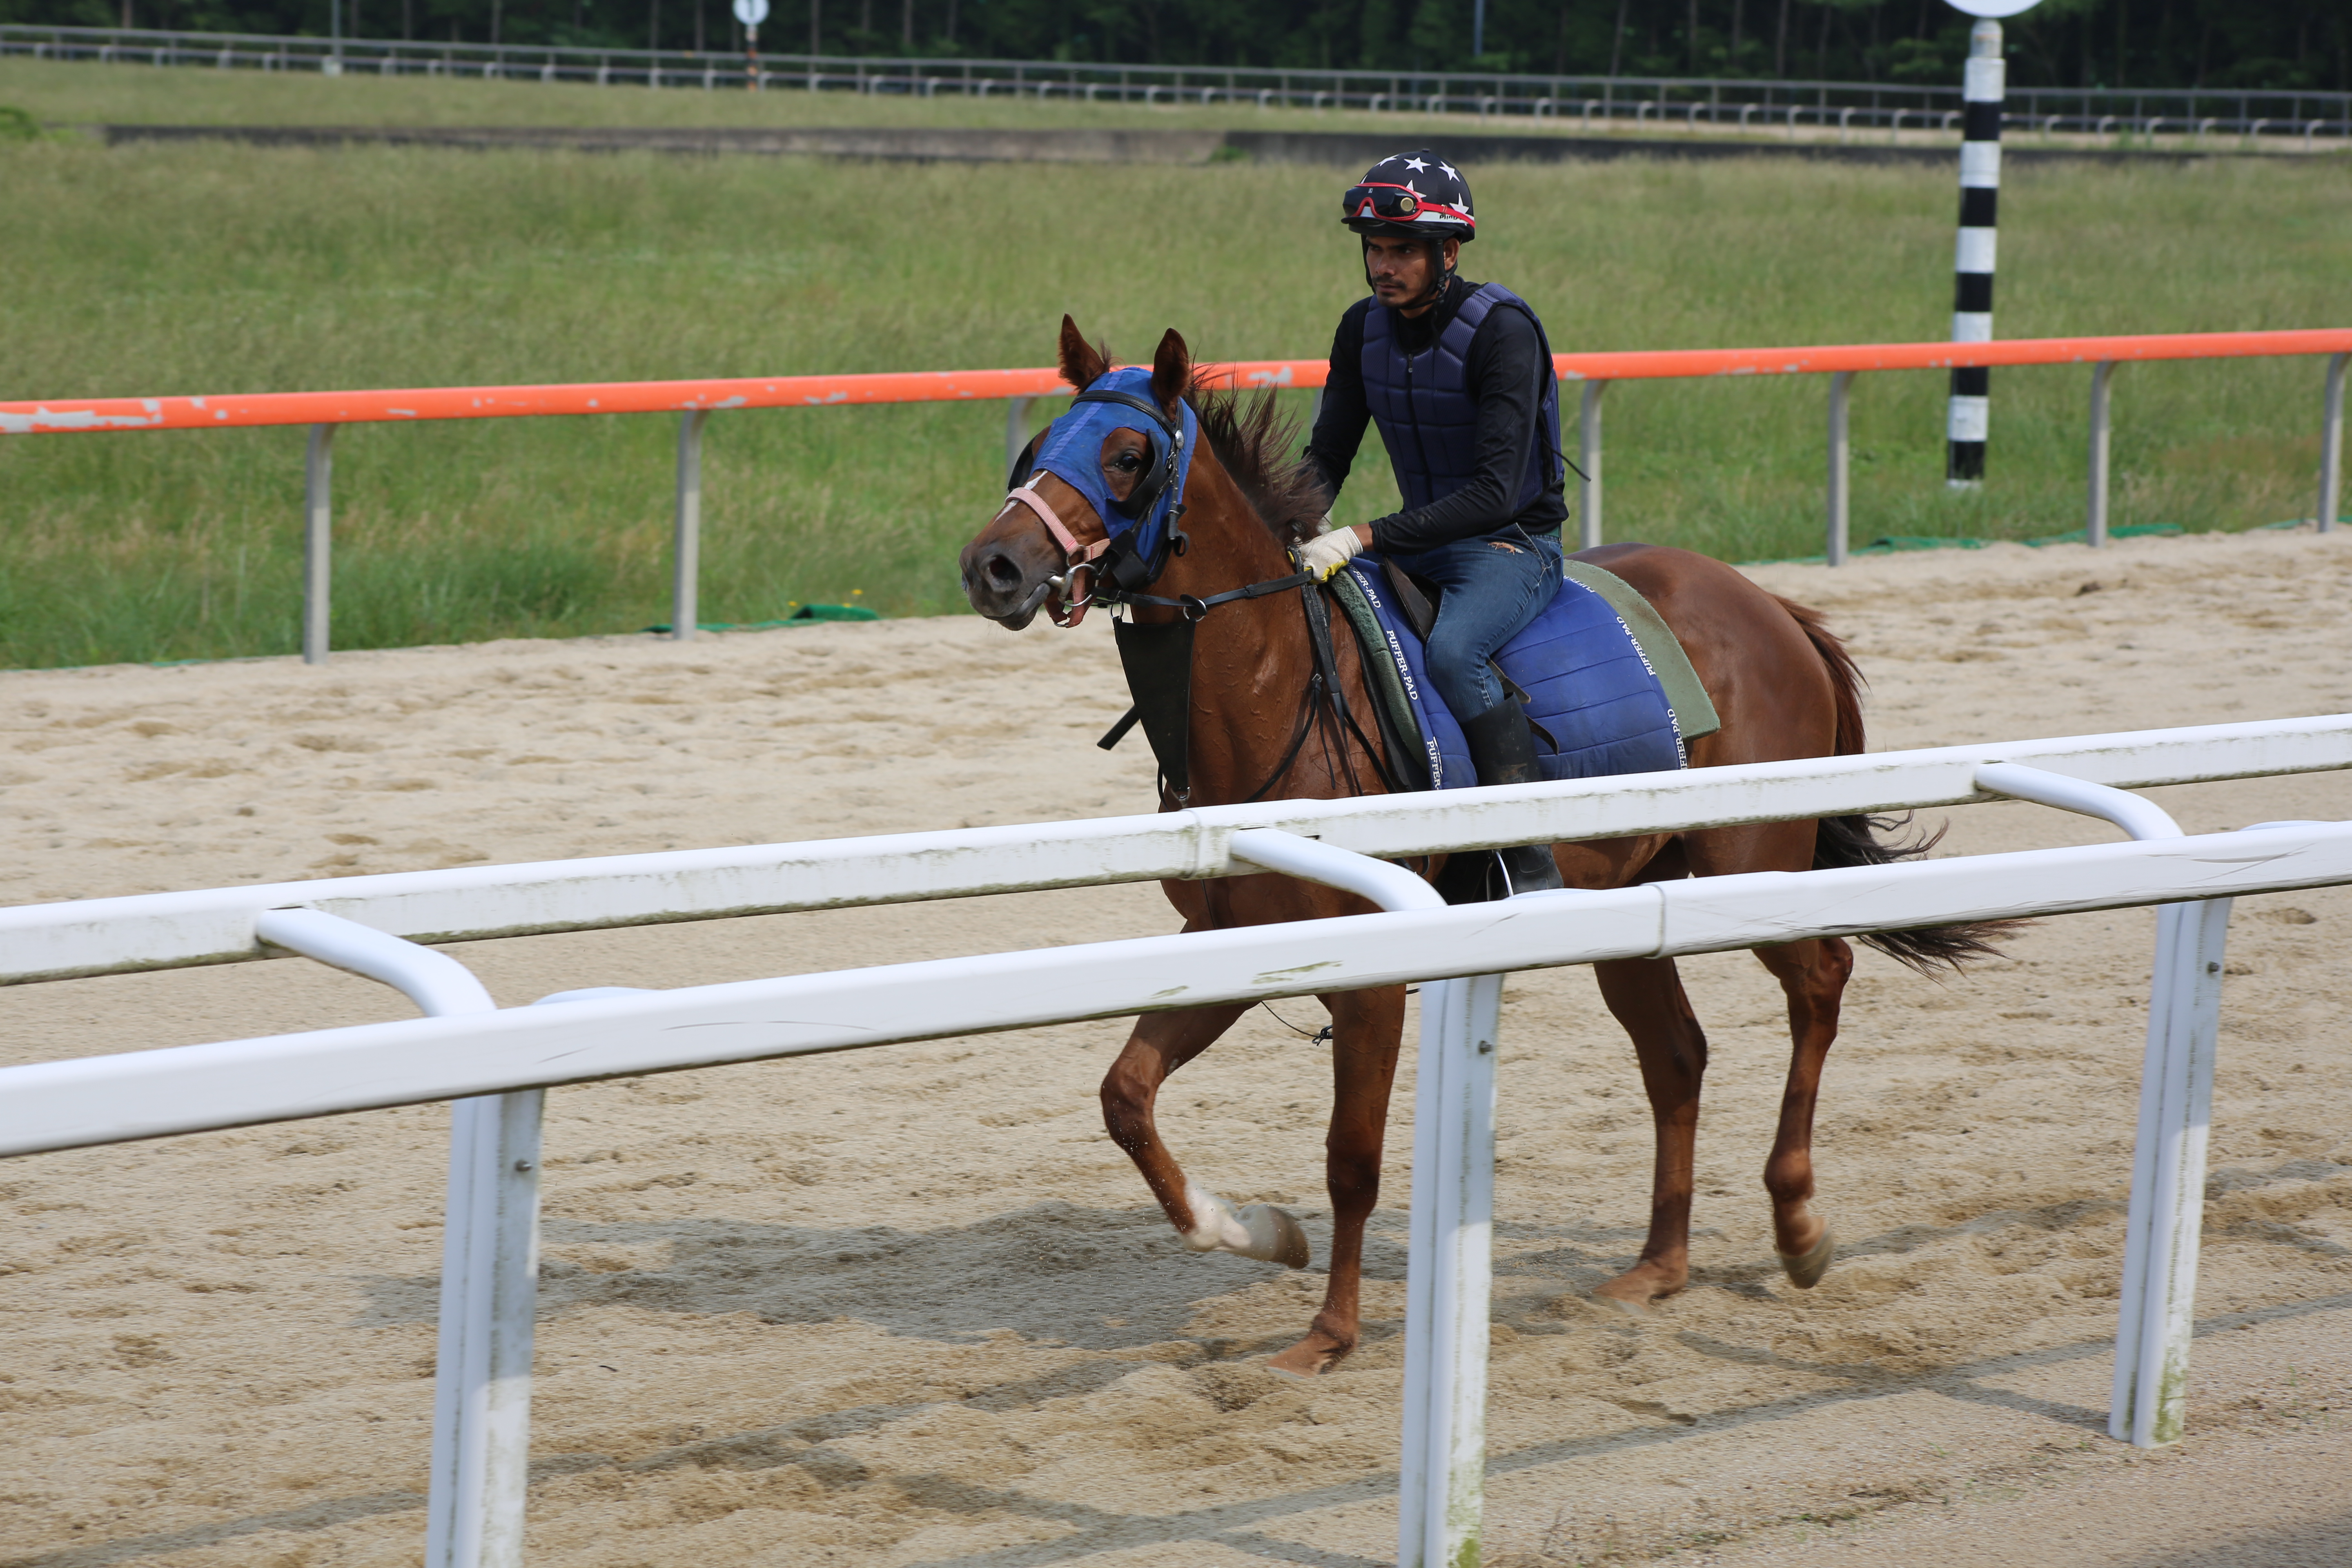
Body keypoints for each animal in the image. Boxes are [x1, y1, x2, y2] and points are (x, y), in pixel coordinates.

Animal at [955, 315, 2004, 1373]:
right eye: (1036, 448)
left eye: (1128, 457)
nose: (992, 566)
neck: (1280, 686)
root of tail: (1774, 610)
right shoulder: (1233, 940)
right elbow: (1125, 1094)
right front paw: (1256, 1230)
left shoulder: (1371, 977)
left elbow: (1352, 1158)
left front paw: (1328, 1334)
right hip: (1626, 900)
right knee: (1676, 1055)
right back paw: (1657, 1267)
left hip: (1752, 860)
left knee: (1821, 980)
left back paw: (1796, 1222)